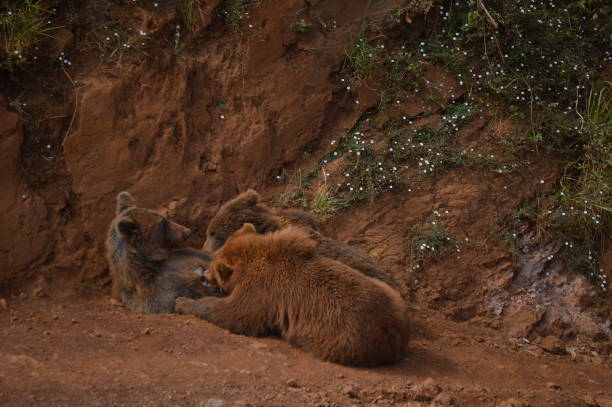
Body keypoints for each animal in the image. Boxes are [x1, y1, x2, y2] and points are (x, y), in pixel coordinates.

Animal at [176, 225, 406, 368]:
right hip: (387, 292)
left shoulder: (261, 290)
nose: (203, 273)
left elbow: (235, 314)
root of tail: (396, 335)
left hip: (338, 335)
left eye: (213, 266)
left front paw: (182, 302)